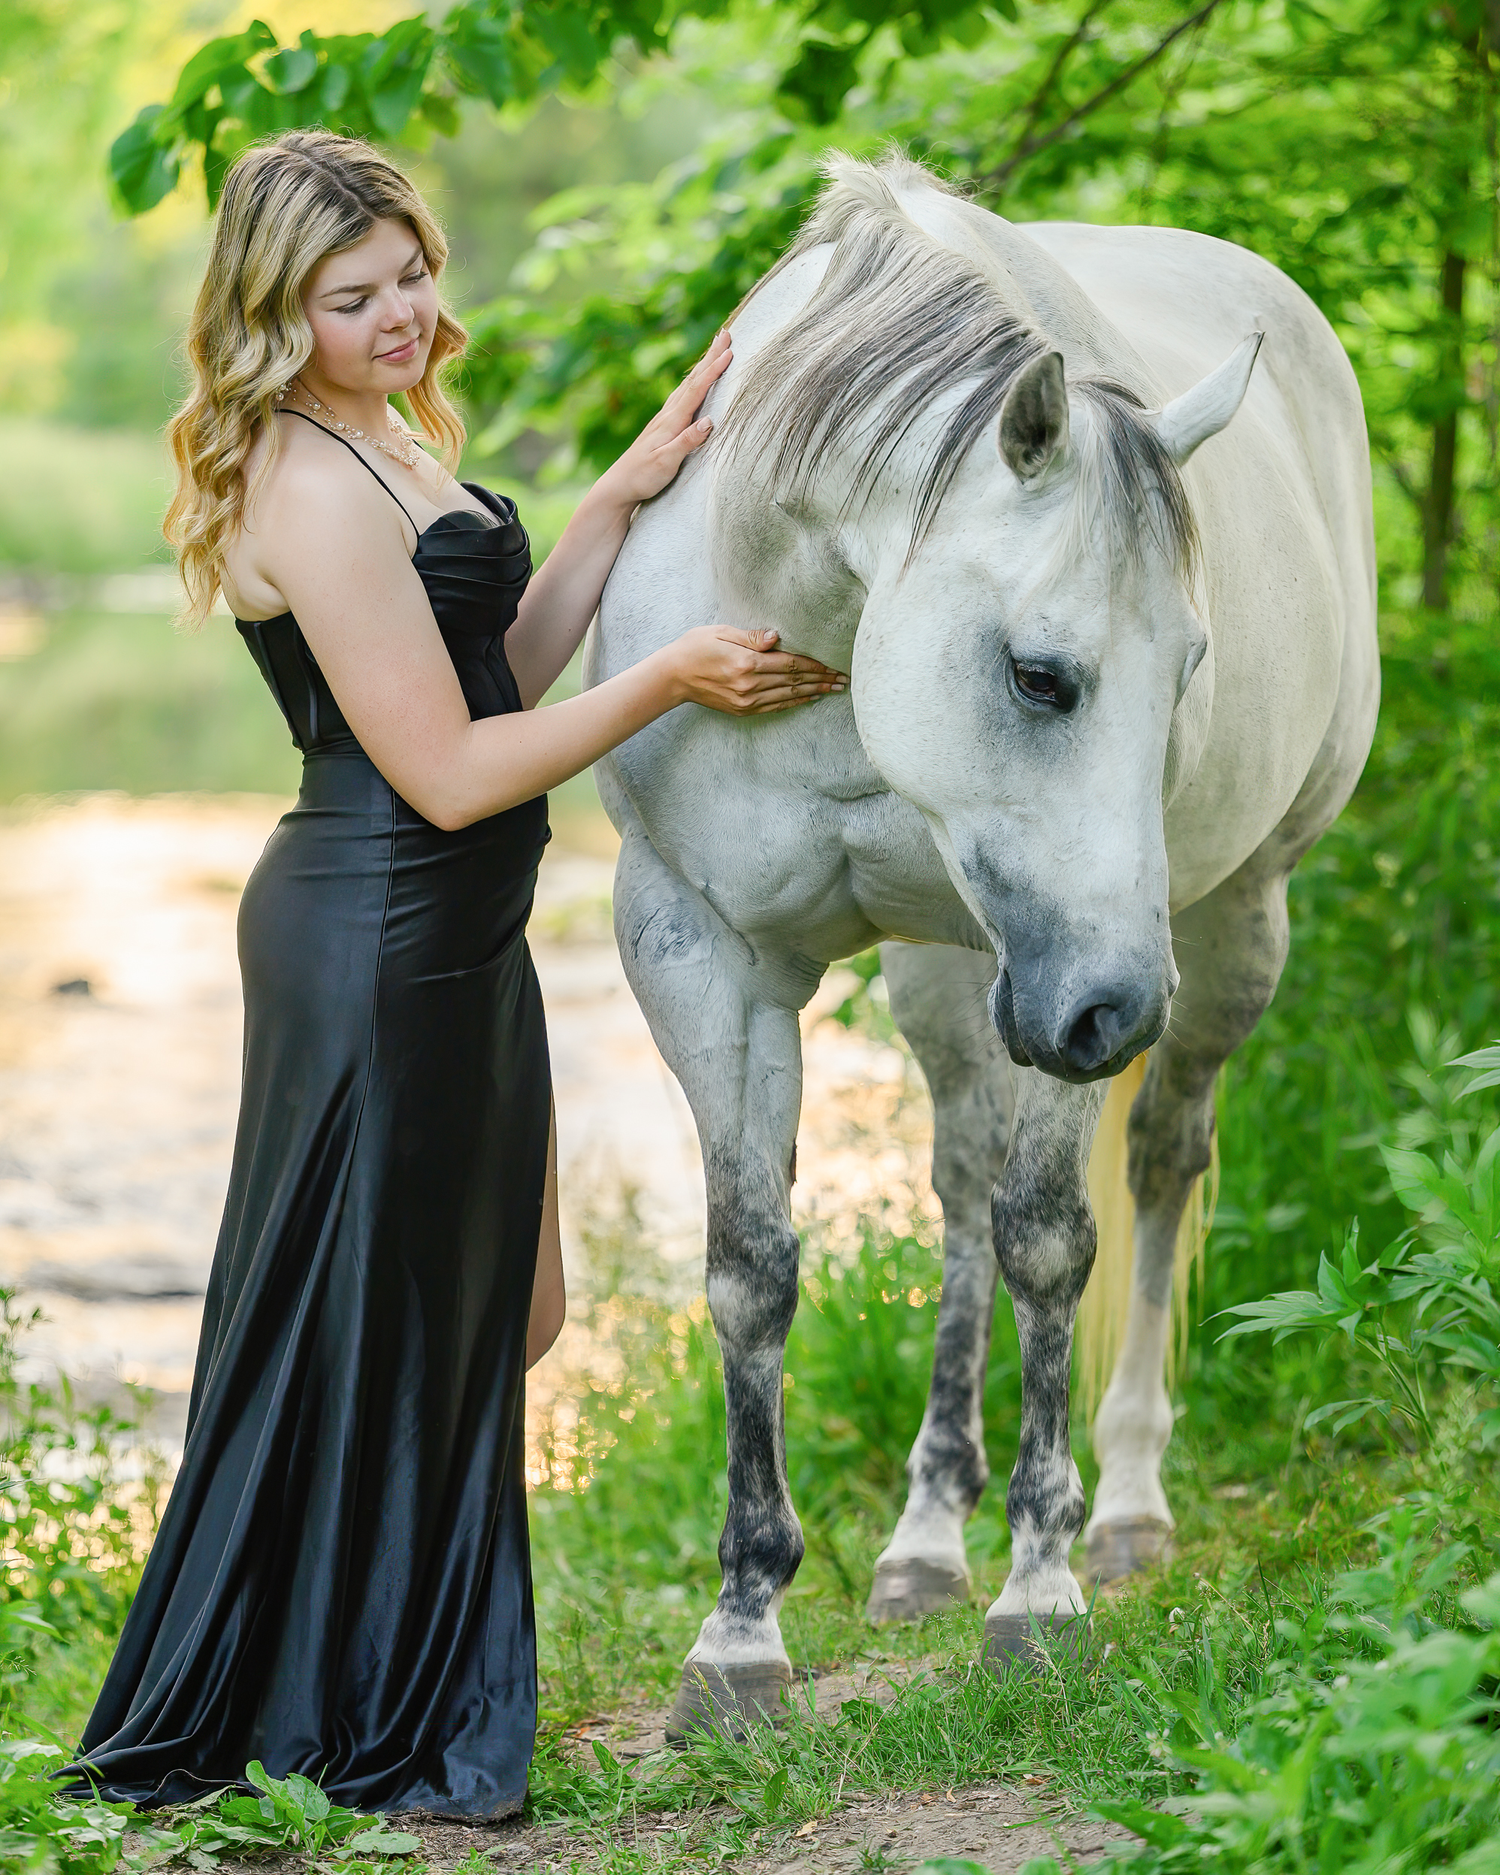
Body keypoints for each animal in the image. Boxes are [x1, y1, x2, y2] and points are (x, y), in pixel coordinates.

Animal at [585, 152, 1379, 1738]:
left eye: (1190, 667)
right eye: (1039, 673)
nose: (1117, 1007)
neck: (822, 625)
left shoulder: (1078, 989)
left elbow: (1053, 1241)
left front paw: (1043, 1589)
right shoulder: (701, 950)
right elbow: (752, 1269)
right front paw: (741, 1632)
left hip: (1221, 928)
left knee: (1160, 1165)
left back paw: (1125, 1506)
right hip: (962, 976)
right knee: (955, 1188)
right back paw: (921, 1541)